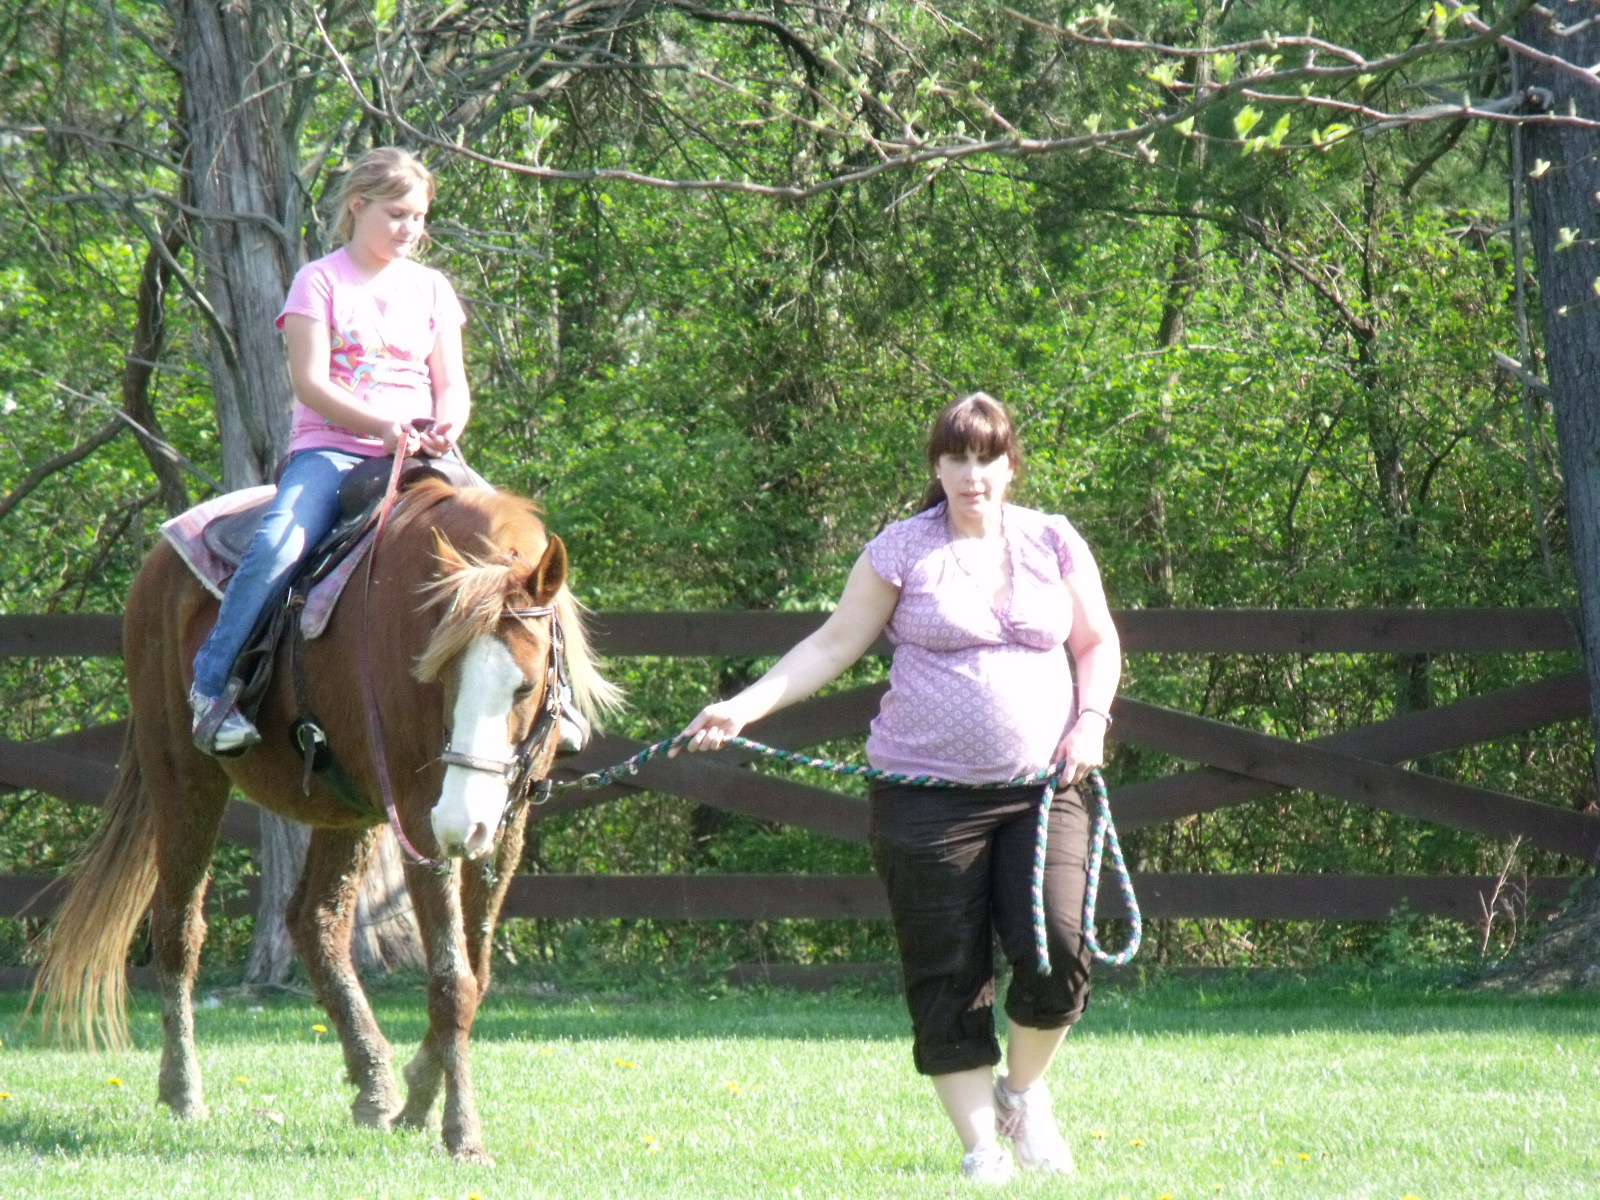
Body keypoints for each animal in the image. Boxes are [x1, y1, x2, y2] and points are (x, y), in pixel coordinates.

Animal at [29, 477, 619, 1161]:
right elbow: (452, 979)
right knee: (180, 930)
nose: (461, 823)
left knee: (316, 922)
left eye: (524, 687)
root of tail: (156, 570)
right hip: (183, 776)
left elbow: (475, 971)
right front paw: (461, 1131)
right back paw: (184, 1092)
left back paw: (374, 1083)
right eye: (441, 675)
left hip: (349, 811)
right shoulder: (418, 819)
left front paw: (420, 1095)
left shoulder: (507, 821)